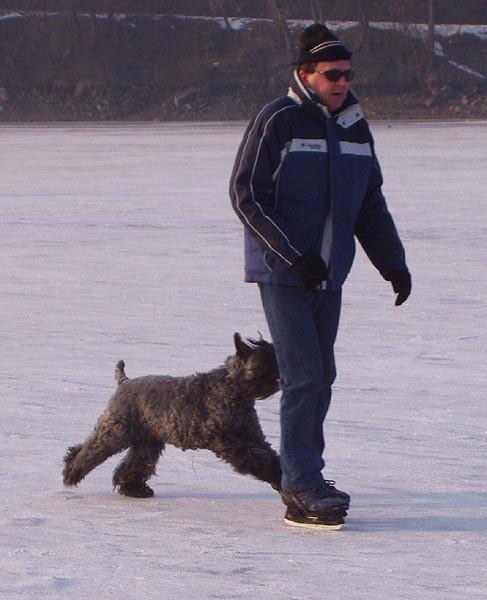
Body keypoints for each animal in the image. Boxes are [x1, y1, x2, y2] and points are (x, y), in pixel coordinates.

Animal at [63, 332, 282, 496]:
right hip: (117, 432)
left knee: (133, 464)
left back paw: (134, 489)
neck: (232, 386)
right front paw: (273, 473)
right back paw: (71, 472)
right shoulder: (227, 440)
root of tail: (125, 382)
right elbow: (255, 457)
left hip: (147, 442)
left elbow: (267, 453)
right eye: (267, 359)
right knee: (91, 450)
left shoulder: (253, 435)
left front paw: (279, 471)